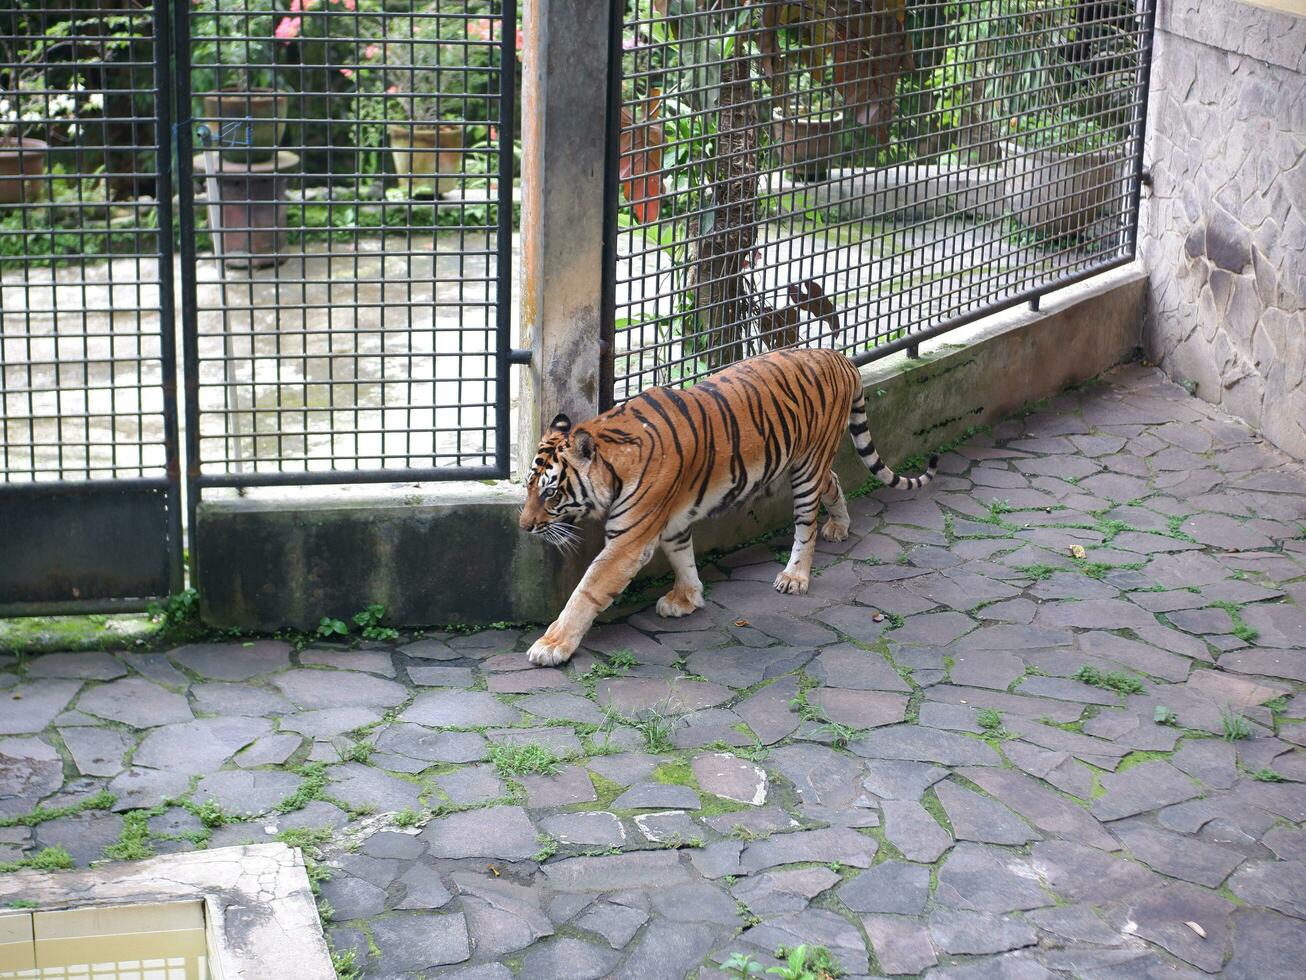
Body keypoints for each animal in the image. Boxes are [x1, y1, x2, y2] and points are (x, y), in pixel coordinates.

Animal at [514, 347, 935, 669]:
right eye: (528, 487)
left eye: (550, 494)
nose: (523, 527)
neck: (614, 456)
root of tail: (838, 355)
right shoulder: (670, 521)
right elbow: (682, 556)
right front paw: (687, 599)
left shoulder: (628, 541)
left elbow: (586, 592)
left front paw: (551, 646)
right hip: (809, 461)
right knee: (833, 481)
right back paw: (840, 526)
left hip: (806, 467)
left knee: (806, 525)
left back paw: (795, 576)